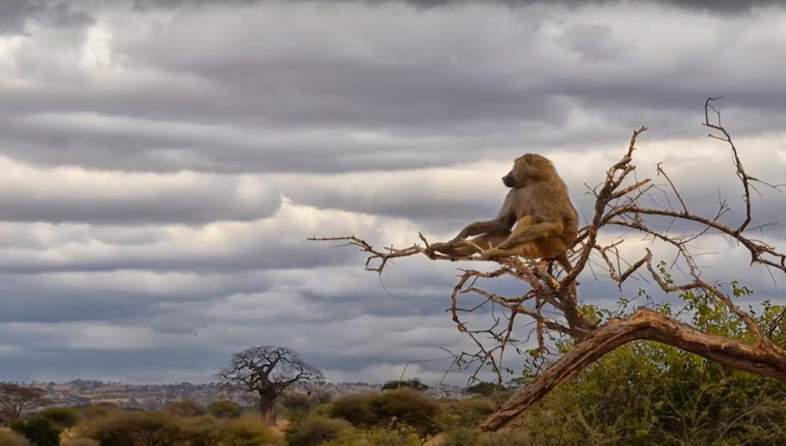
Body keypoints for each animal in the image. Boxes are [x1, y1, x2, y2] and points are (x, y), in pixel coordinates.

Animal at [431, 153, 578, 268]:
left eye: (514, 167)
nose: (504, 177)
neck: (532, 182)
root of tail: (563, 251)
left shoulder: (546, 190)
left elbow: (554, 225)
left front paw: (508, 244)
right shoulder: (514, 191)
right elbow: (503, 222)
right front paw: (461, 235)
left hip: (551, 247)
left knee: (530, 219)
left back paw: (505, 251)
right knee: (501, 232)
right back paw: (452, 251)